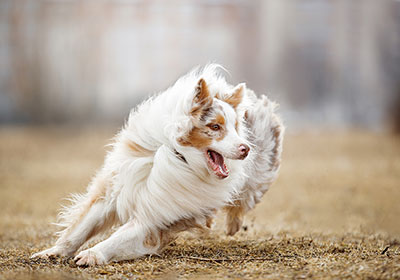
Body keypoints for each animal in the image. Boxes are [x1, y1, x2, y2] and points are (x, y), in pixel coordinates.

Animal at [31, 64, 284, 266]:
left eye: (234, 127)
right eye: (215, 127)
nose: (246, 148)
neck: (176, 154)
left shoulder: (153, 218)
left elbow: (116, 238)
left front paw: (92, 254)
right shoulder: (113, 192)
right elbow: (80, 229)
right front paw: (53, 252)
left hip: (257, 179)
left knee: (243, 201)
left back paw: (233, 224)